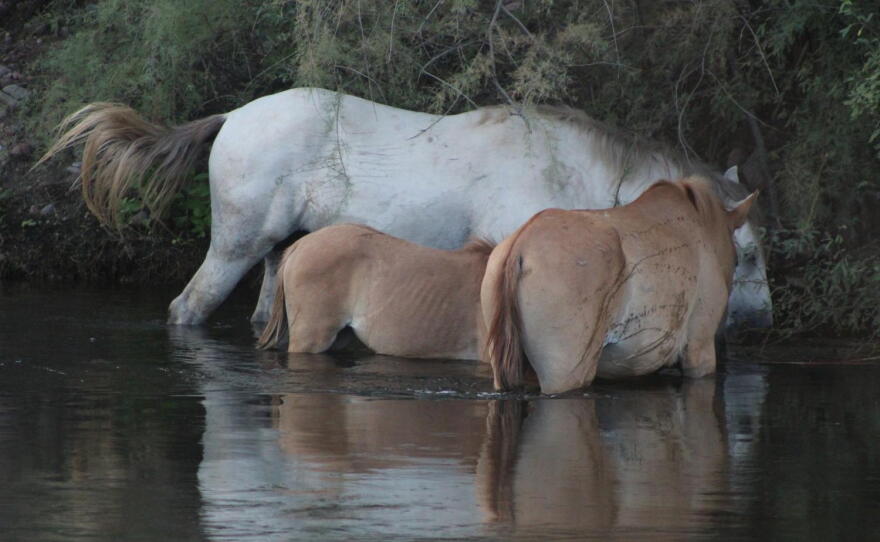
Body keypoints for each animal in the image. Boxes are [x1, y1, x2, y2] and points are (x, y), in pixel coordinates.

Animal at [37, 87, 771, 331]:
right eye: (750, 254)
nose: (761, 321)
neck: (567, 166)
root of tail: (233, 118)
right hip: (237, 245)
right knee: (187, 309)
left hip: (280, 252)